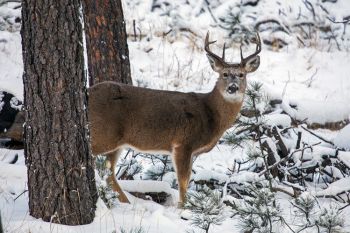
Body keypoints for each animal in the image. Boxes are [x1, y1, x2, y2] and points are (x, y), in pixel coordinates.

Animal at [89, 31, 262, 207]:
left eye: (241, 75)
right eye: (224, 74)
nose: (232, 87)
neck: (210, 114)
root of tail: (88, 91)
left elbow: (187, 179)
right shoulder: (183, 143)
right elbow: (183, 182)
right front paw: (183, 208)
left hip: (115, 142)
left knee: (109, 173)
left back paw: (127, 203)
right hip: (103, 133)